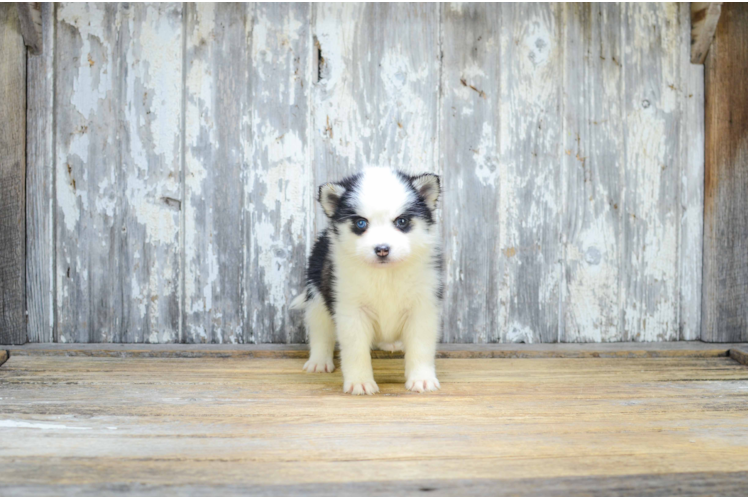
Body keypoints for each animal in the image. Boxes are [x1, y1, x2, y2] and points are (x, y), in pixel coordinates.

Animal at [290, 168, 444, 394]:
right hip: (317, 297)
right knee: (320, 331)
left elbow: (420, 347)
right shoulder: (351, 310)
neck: (385, 274)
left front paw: (421, 379)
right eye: (361, 223)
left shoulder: (423, 307)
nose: (382, 249)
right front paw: (360, 382)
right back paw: (318, 361)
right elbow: (356, 350)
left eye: (402, 221)